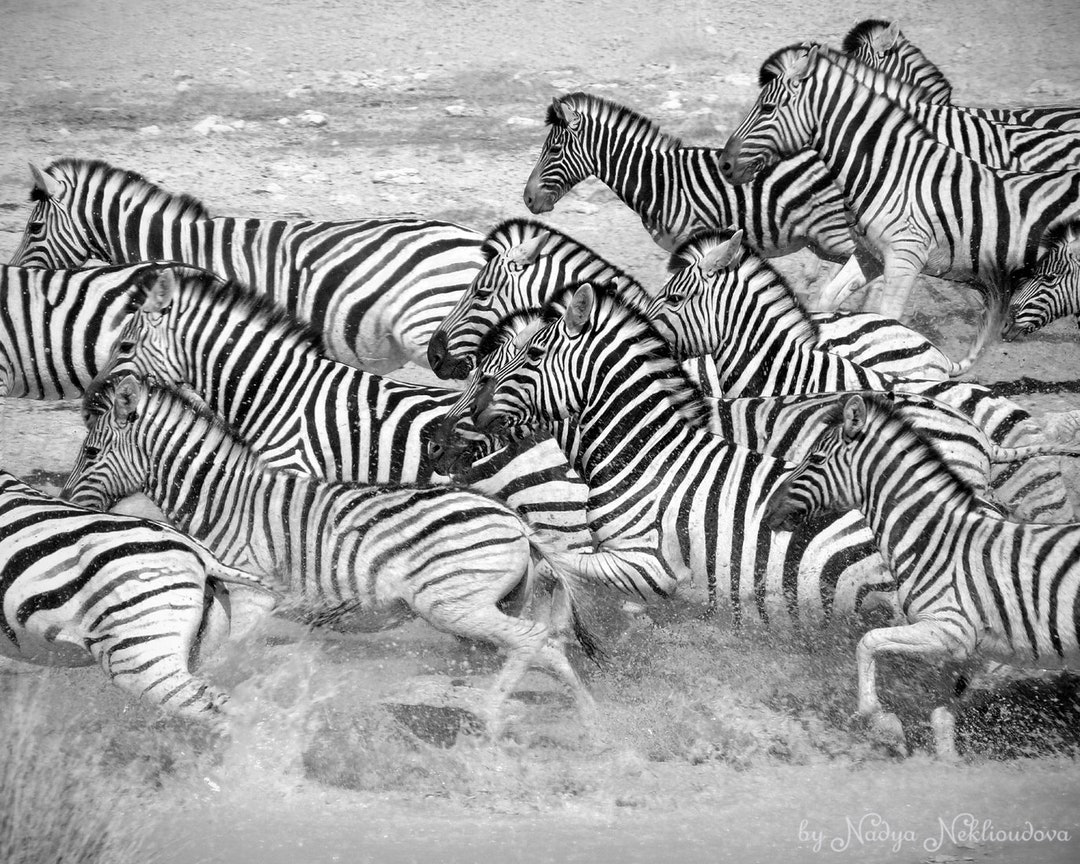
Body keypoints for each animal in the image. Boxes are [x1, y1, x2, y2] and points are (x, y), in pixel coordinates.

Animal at [63, 375, 600, 734]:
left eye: (89, 454)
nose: (68, 504)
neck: (226, 499)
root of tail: (517, 523)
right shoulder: (225, 594)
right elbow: (207, 655)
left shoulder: (254, 593)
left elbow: (225, 658)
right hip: (489, 605)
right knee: (547, 649)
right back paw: (591, 726)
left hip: (453, 605)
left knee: (532, 641)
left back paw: (492, 716)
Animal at [720, 44, 1080, 323]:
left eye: (767, 108)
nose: (724, 165)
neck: (890, 169)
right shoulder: (871, 254)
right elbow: (827, 298)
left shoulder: (906, 258)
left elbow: (888, 318)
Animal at [763, 393, 1080, 759]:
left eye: (815, 458)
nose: (768, 513)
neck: (934, 539)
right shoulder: (964, 648)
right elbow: (942, 714)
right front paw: (945, 761)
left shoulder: (947, 627)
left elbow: (868, 642)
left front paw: (880, 719)